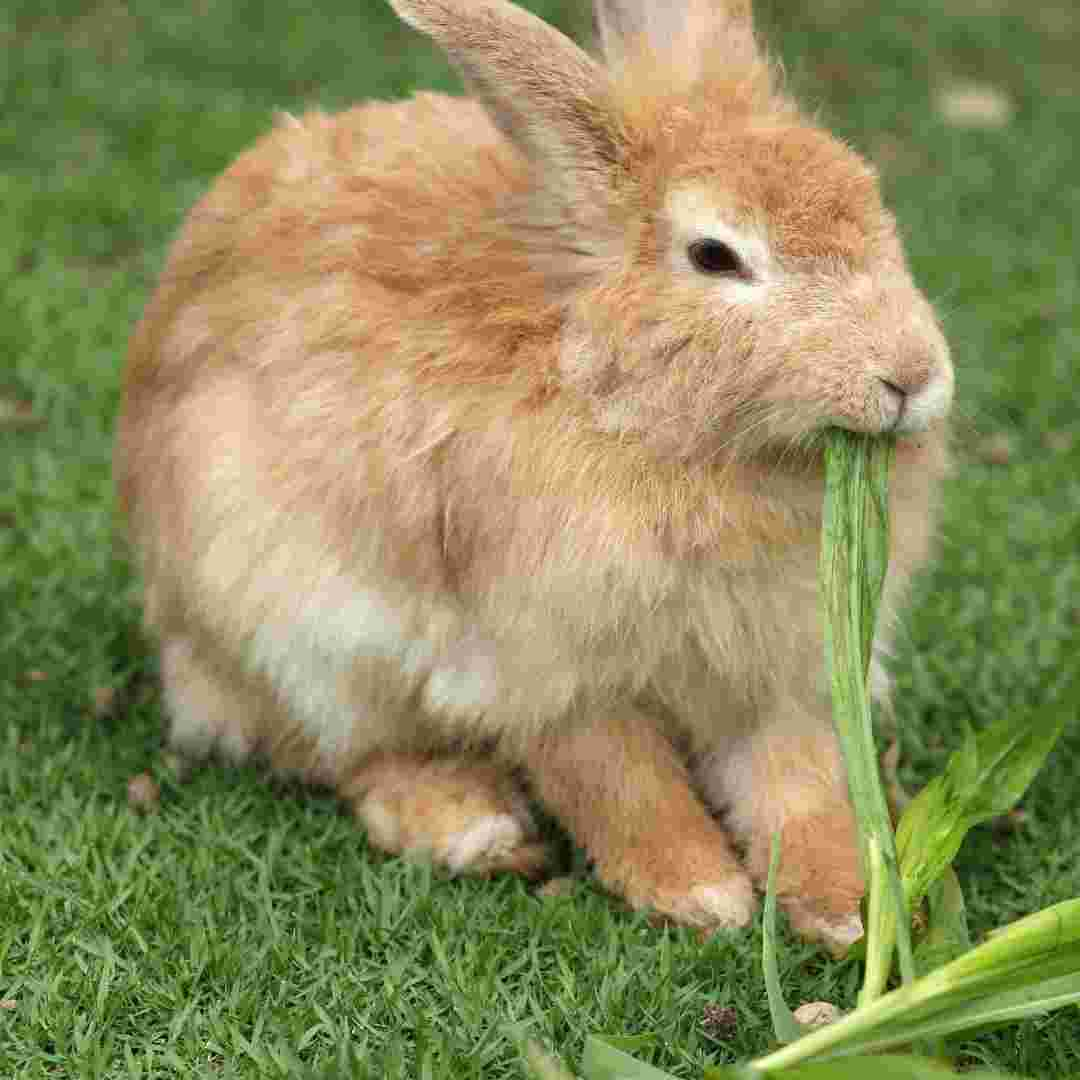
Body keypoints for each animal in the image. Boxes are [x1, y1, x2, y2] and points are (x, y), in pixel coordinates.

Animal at [113, 0, 950, 950]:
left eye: (871, 199)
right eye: (714, 256)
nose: (912, 376)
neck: (624, 402)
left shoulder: (778, 675)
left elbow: (797, 785)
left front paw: (845, 906)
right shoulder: (550, 672)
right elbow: (621, 786)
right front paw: (700, 894)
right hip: (294, 636)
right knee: (349, 756)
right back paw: (469, 827)